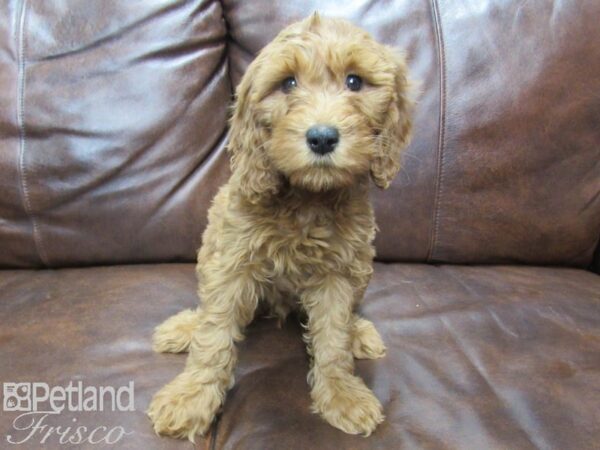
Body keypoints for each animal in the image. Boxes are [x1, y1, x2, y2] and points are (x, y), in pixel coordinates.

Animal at [148, 13, 414, 440]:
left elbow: (333, 337)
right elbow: (214, 332)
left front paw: (341, 394)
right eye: (288, 83)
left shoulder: (340, 272)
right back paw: (185, 327)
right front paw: (191, 397)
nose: (322, 137)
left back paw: (360, 331)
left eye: (354, 81)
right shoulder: (232, 261)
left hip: (363, 266)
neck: (307, 198)